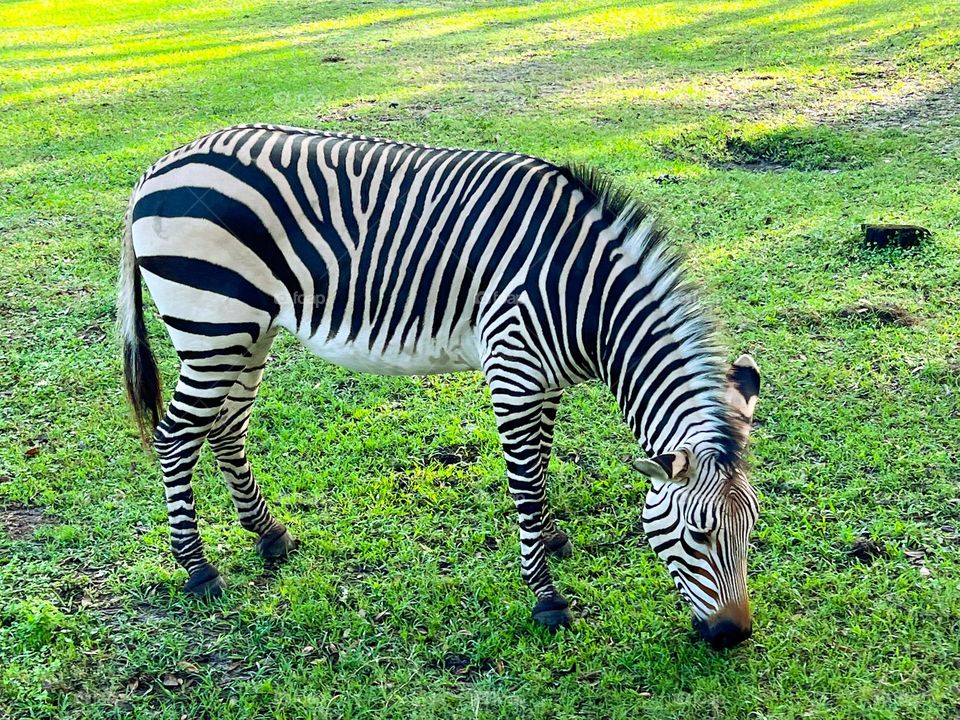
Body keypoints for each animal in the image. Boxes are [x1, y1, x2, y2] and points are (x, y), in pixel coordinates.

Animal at [118, 124, 761, 648]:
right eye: (699, 536)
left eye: (752, 528)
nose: (733, 636)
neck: (586, 299)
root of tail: (158, 166)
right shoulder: (513, 370)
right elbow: (525, 483)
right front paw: (547, 599)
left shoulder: (546, 378)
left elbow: (542, 465)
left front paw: (552, 536)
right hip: (214, 324)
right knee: (177, 436)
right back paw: (197, 567)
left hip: (249, 329)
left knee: (226, 427)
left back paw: (268, 535)